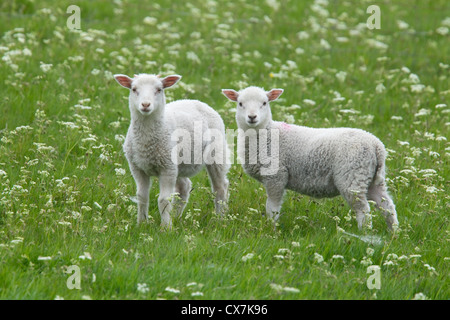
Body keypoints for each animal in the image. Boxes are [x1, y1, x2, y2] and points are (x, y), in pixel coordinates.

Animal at [114, 73, 230, 228]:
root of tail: (196, 101)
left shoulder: (167, 168)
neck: (146, 142)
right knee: (184, 187)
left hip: (216, 154)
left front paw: (166, 228)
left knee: (220, 187)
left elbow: (164, 199)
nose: (145, 105)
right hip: (179, 162)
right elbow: (142, 197)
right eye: (134, 89)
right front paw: (141, 224)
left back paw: (220, 219)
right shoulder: (137, 168)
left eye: (159, 89)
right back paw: (176, 217)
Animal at [221, 85, 398, 230]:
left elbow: (272, 208)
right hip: (372, 178)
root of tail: (377, 146)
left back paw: (364, 234)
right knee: (387, 206)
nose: (252, 117)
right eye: (240, 103)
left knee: (364, 210)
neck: (266, 134)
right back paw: (393, 234)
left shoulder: (276, 176)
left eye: (264, 103)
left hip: (353, 176)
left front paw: (271, 229)